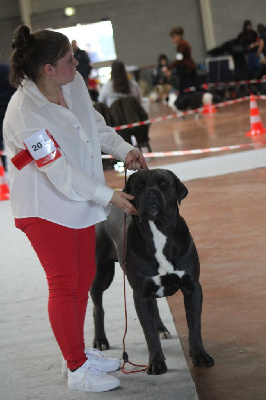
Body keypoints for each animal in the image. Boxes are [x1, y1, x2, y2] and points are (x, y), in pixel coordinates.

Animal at [90, 167, 215, 374]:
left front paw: (200, 355)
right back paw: (100, 339)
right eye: (139, 185)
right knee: (97, 305)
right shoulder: (140, 294)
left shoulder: (192, 288)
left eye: (164, 183)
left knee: (154, 305)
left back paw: (161, 328)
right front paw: (156, 362)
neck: (157, 230)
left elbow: (194, 326)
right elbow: (148, 333)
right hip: (101, 274)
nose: (152, 192)